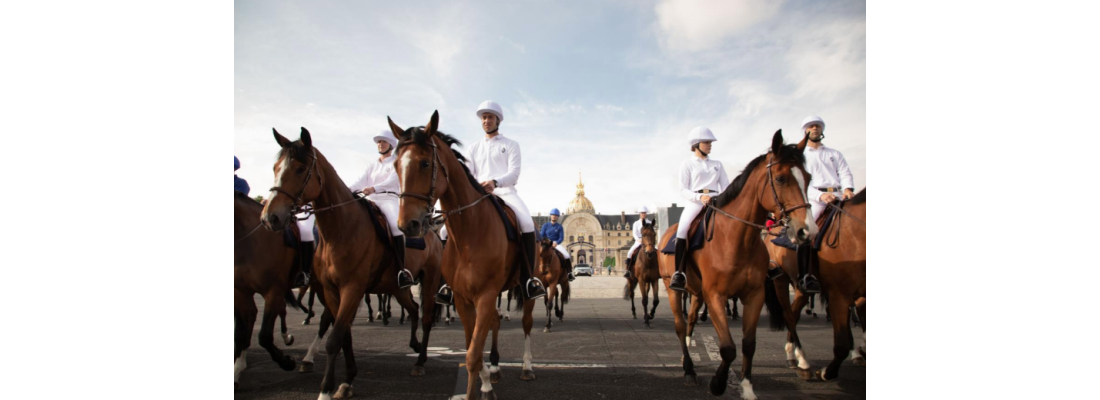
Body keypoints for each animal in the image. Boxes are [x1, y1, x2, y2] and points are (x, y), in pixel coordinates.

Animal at [258, 129, 393, 400]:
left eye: (300, 169)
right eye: (276, 167)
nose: (270, 217)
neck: (342, 229)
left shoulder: (352, 288)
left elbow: (334, 339)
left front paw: (326, 389)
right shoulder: (331, 289)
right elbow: (342, 335)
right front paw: (346, 381)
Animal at [391, 110, 536, 397]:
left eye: (425, 163)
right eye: (395, 165)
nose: (407, 225)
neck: (470, 232)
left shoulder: (485, 295)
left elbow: (471, 355)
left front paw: (481, 385)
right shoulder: (462, 298)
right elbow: (473, 350)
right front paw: (486, 382)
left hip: (528, 290)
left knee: (526, 323)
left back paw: (526, 367)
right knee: (495, 322)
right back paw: (496, 368)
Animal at [655, 129, 814, 397]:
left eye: (809, 178)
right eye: (781, 179)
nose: (807, 230)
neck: (738, 240)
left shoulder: (754, 294)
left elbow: (748, 344)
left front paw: (747, 387)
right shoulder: (716, 295)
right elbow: (728, 348)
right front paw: (718, 383)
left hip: (698, 291)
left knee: (690, 320)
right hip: (672, 286)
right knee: (679, 325)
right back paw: (688, 369)